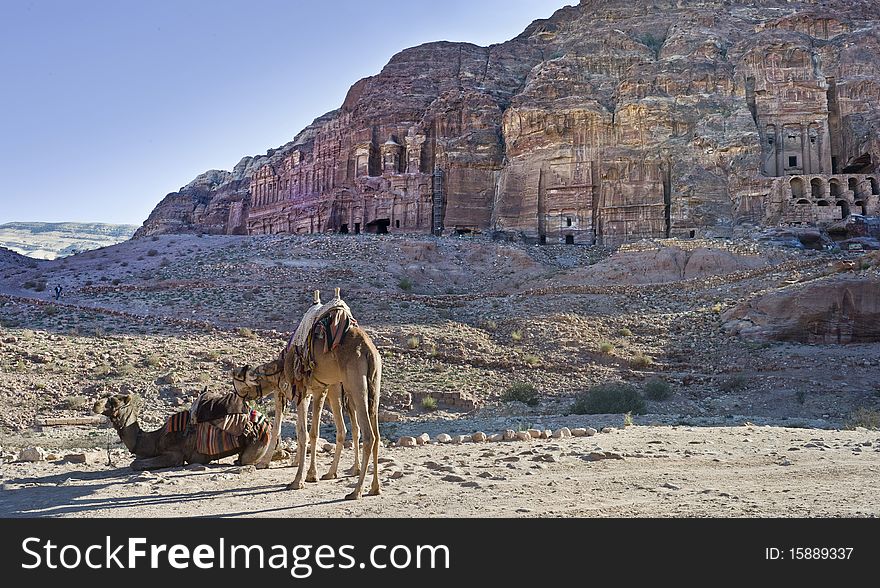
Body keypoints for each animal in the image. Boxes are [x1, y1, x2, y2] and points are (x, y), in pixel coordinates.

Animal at [92, 392, 272, 470]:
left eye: (114, 402)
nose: (95, 405)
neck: (155, 439)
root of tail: (265, 421)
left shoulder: (175, 455)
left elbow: (134, 464)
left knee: (245, 460)